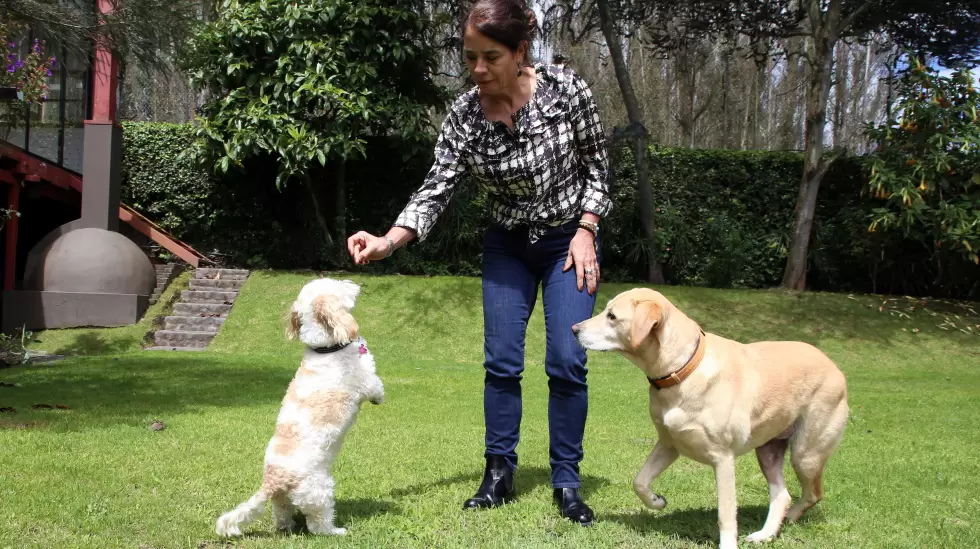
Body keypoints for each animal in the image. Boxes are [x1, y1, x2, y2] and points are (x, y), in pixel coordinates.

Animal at [216, 278, 384, 536]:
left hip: (282, 501)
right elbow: (376, 386)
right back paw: (335, 531)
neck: (326, 349)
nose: (354, 283)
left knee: (282, 516)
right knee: (317, 525)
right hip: (320, 491)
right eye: (337, 285)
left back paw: (287, 527)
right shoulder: (365, 380)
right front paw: (380, 397)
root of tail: (273, 481)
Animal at [572, 288, 848, 544]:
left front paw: (728, 544)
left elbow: (725, 515)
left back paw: (788, 520)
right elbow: (639, 481)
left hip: (806, 454)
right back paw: (766, 533)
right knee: (782, 495)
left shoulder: (723, 459)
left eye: (612, 316)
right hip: (768, 451)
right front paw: (656, 501)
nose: (574, 329)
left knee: (813, 494)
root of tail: (834, 366)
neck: (682, 370)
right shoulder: (669, 443)